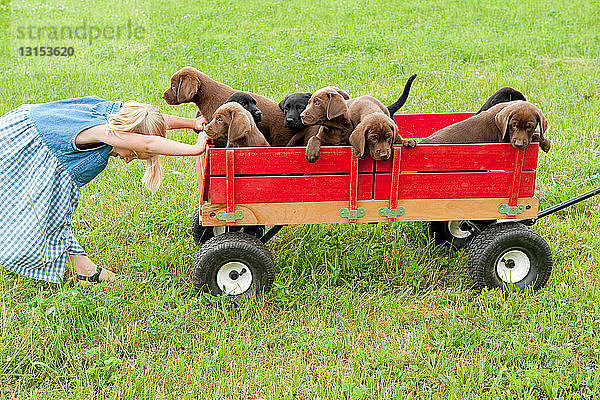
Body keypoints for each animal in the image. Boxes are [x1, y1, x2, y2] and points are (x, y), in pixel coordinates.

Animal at [420, 100, 552, 152]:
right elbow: (535, 136)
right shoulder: (505, 140)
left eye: (529, 126)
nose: (519, 145)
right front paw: (543, 141)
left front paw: (545, 141)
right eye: (513, 125)